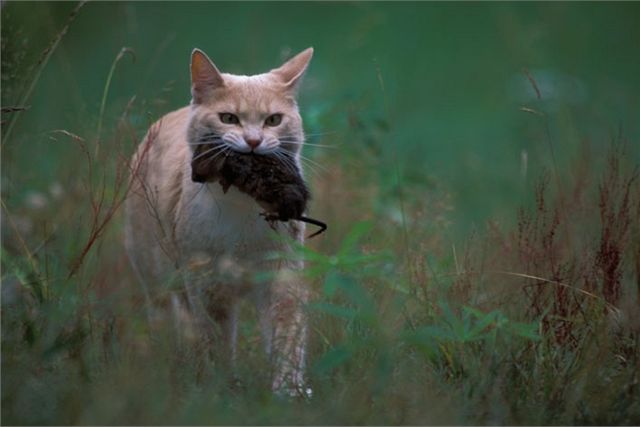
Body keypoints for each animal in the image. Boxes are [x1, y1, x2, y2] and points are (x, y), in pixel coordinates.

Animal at [124, 45, 314, 396]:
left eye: (273, 120)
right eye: (228, 118)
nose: (253, 142)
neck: (243, 203)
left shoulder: (282, 278)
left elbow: (287, 339)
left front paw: (287, 392)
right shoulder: (207, 286)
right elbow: (217, 342)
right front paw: (222, 392)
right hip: (157, 277)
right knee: (166, 320)